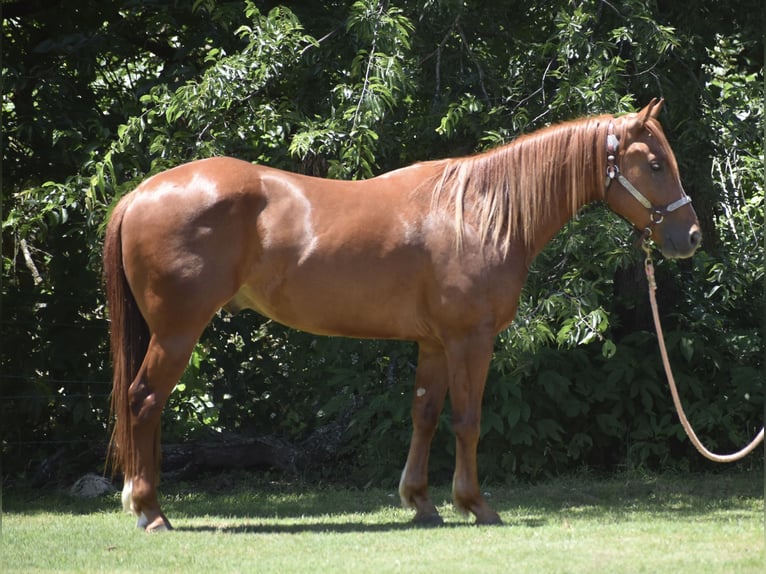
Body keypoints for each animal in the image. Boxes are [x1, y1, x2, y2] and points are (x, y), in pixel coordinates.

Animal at [103, 98, 701, 531]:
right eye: (654, 164)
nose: (690, 236)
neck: (480, 212)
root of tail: (140, 193)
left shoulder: (433, 343)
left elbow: (425, 414)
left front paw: (421, 502)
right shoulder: (470, 340)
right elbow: (467, 420)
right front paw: (476, 505)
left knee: (149, 406)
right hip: (178, 332)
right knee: (144, 401)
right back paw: (150, 512)